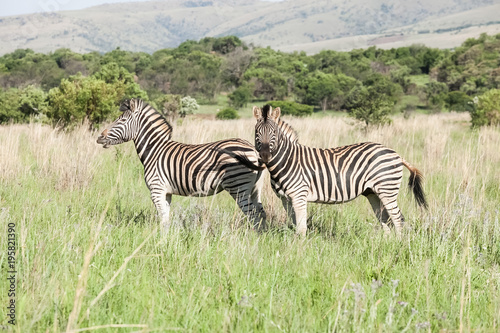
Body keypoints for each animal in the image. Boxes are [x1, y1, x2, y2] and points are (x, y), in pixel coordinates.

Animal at [96, 98, 266, 232]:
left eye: (122, 120)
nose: (99, 137)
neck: (154, 150)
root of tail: (252, 149)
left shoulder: (156, 190)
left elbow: (163, 220)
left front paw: (161, 243)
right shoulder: (167, 193)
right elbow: (166, 219)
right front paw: (167, 241)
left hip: (238, 186)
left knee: (252, 214)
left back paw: (250, 241)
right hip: (254, 187)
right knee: (261, 212)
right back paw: (262, 241)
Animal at [252, 104, 428, 236]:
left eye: (274, 132)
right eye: (257, 132)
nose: (265, 156)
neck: (286, 161)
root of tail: (396, 154)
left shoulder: (299, 196)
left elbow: (301, 228)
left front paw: (299, 251)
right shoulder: (285, 199)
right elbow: (295, 225)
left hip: (387, 189)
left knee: (398, 220)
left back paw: (399, 246)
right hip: (373, 192)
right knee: (385, 219)